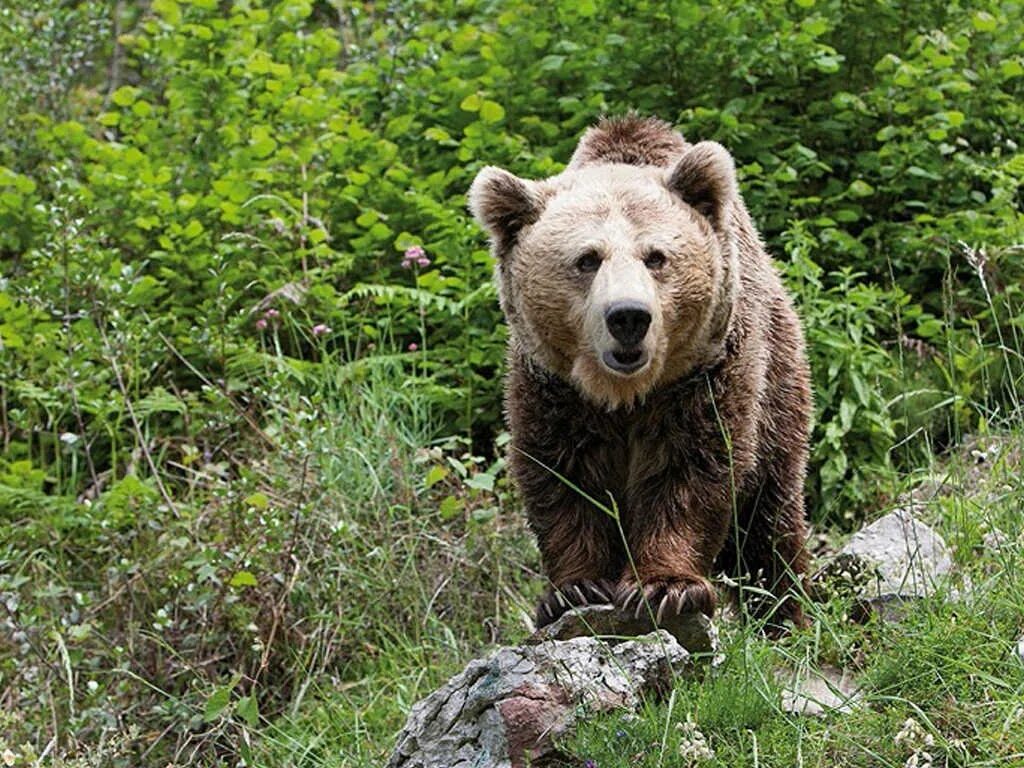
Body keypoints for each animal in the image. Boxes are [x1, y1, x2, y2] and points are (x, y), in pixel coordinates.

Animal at [468, 114, 811, 630]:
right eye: (587, 259)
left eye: (656, 257)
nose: (628, 316)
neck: (625, 393)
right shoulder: (553, 389)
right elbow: (562, 478)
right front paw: (574, 589)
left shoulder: (706, 376)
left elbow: (693, 469)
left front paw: (666, 587)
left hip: (780, 382)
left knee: (769, 521)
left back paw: (785, 614)